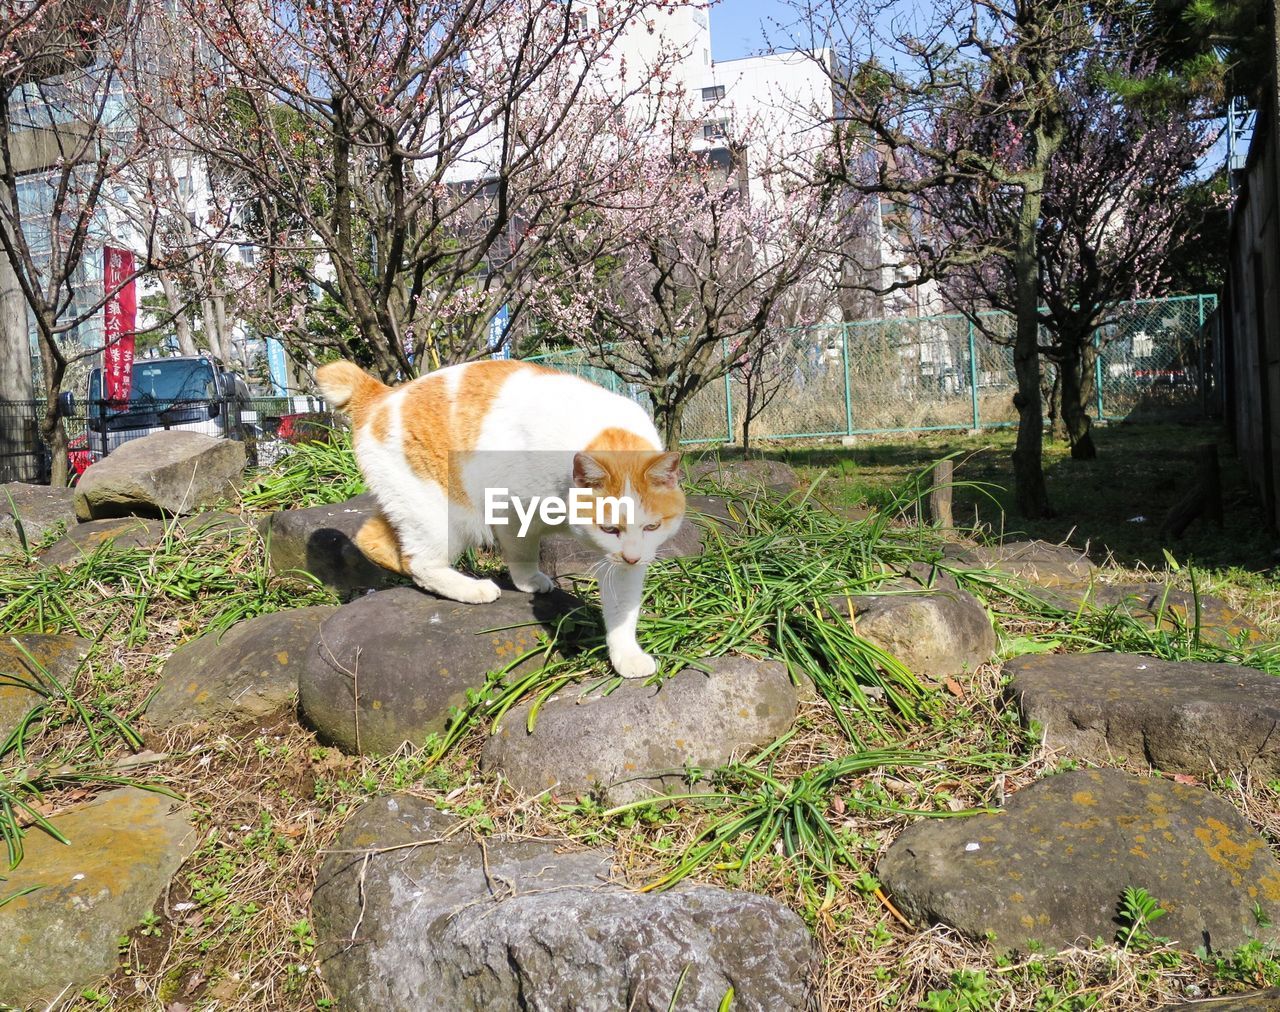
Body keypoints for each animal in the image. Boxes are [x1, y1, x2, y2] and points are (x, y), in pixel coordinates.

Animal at [313, 358, 686, 680]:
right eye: (609, 528)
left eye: (652, 526)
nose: (633, 557)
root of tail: (383, 393)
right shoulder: (511, 510)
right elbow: (522, 551)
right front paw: (527, 581)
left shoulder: (626, 560)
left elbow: (623, 609)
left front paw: (626, 654)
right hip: (444, 514)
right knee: (419, 561)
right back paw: (471, 588)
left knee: (372, 540)